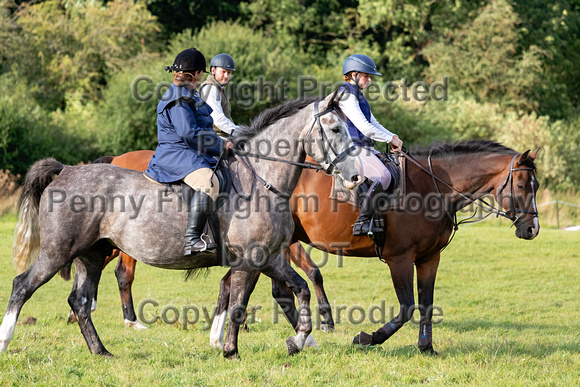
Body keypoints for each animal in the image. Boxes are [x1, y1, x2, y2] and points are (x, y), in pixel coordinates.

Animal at [0, 95, 362, 360]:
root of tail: (65, 170)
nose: (356, 177)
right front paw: (230, 351)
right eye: (334, 129)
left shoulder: (270, 259)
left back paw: (101, 351)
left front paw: (298, 340)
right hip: (58, 252)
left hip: (91, 255)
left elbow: (300, 290)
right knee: (23, 286)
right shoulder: (249, 262)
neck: (260, 181)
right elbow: (239, 305)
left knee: (80, 300)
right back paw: (5, 341)